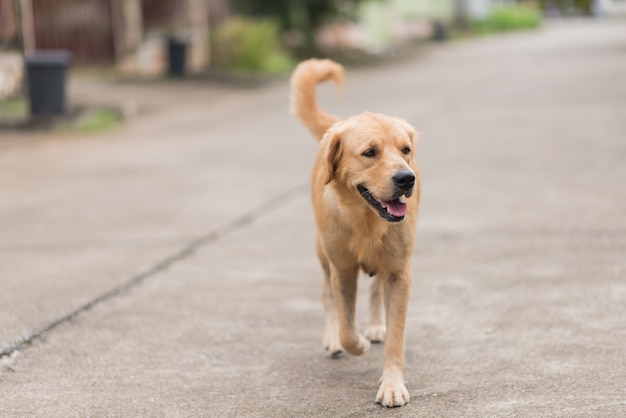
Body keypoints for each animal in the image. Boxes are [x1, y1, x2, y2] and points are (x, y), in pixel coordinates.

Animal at [292, 57, 420, 406]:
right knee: (327, 296)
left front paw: (392, 384)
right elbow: (347, 328)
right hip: (322, 254)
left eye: (405, 149)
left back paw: (375, 325)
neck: (366, 221)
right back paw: (334, 337)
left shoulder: (399, 272)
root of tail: (338, 124)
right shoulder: (343, 269)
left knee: (376, 292)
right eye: (369, 152)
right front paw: (354, 342)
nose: (407, 179)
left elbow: (396, 337)